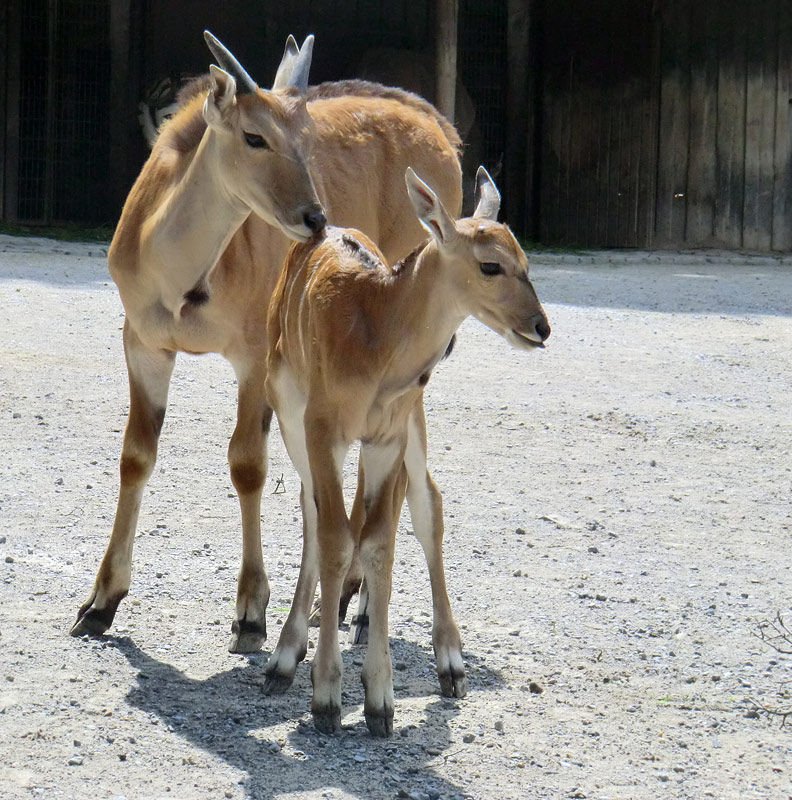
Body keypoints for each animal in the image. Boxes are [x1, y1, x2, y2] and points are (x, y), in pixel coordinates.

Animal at [72, 34, 464, 652]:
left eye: (306, 139)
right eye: (255, 136)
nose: (315, 217)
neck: (180, 275)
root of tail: (440, 129)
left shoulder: (253, 360)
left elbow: (247, 465)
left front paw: (252, 612)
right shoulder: (143, 344)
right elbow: (136, 456)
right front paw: (101, 602)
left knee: (396, 473)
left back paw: (355, 603)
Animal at [262, 166, 548, 736]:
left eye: (526, 262)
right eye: (490, 265)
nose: (540, 327)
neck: (374, 334)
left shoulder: (387, 436)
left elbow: (379, 542)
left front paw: (380, 698)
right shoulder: (321, 426)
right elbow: (333, 535)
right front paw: (326, 695)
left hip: (413, 423)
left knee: (424, 505)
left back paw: (447, 661)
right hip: (288, 408)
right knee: (314, 511)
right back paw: (286, 654)